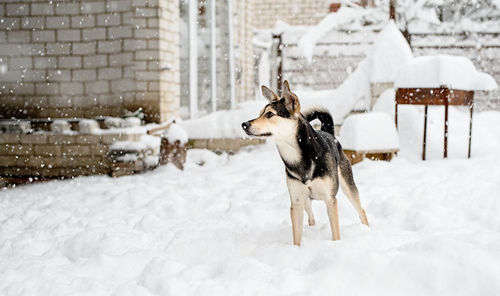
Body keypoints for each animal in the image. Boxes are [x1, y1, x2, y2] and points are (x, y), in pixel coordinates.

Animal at [240, 81, 370, 245]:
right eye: (260, 113)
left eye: (269, 114)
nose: (244, 124)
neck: (297, 157)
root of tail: (329, 133)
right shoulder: (296, 202)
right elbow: (297, 235)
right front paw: (296, 249)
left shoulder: (330, 200)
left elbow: (336, 233)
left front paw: (336, 245)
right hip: (305, 199)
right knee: (311, 216)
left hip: (348, 185)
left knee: (361, 210)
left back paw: (368, 230)